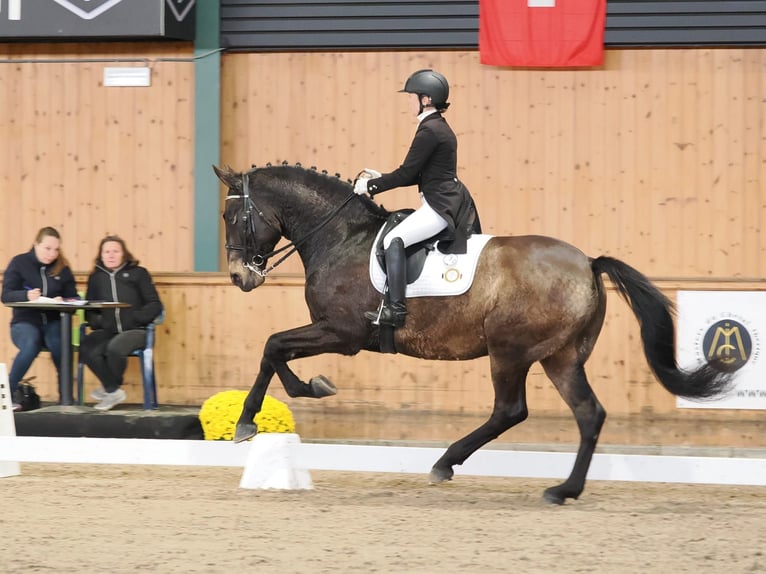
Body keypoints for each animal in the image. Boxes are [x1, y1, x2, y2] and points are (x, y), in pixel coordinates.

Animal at [214, 162, 732, 504]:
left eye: (231, 216)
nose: (240, 276)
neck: (341, 236)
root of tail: (588, 262)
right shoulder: (335, 333)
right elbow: (276, 350)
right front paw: (303, 391)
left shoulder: (342, 334)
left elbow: (272, 346)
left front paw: (255, 418)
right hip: (561, 357)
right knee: (589, 414)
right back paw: (564, 490)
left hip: (510, 351)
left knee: (510, 410)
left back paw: (446, 463)